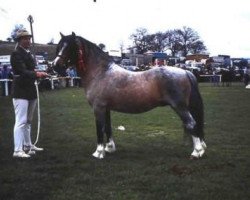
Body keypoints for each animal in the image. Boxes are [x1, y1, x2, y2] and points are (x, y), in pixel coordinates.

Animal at [51, 32, 206, 159]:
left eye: (70, 47)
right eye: (59, 46)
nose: (55, 65)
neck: (100, 73)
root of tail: (186, 72)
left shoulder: (98, 108)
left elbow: (100, 129)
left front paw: (99, 152)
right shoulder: (106, 108)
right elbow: (108, 127)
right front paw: (109, 148)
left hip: (180, 107)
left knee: (191, 124)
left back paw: (196, 152)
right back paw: (200, 148)